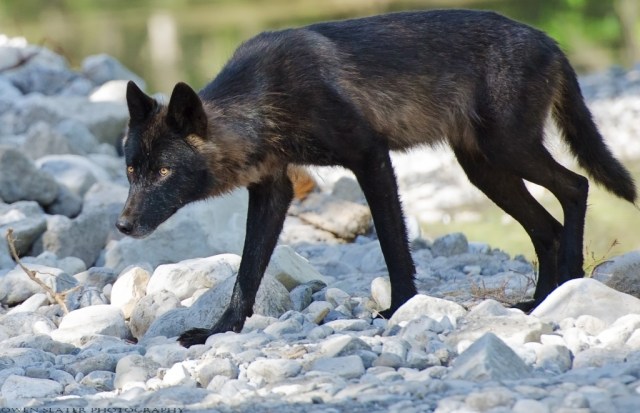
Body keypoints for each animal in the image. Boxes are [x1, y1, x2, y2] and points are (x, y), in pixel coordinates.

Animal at [117, 9, 636, 347]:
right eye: (131, 169)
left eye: (163, 171)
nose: (122, 225)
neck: (264, 100)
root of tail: (552, 43)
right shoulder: (273, 189)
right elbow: (247, 271)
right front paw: (220, 330)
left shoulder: (371, 158)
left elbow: (392, 242)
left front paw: (400, 308)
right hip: (486, 170)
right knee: (546, 227)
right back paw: (539, 303)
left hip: (509, 151)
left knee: (576, 186)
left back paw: (569, 286)